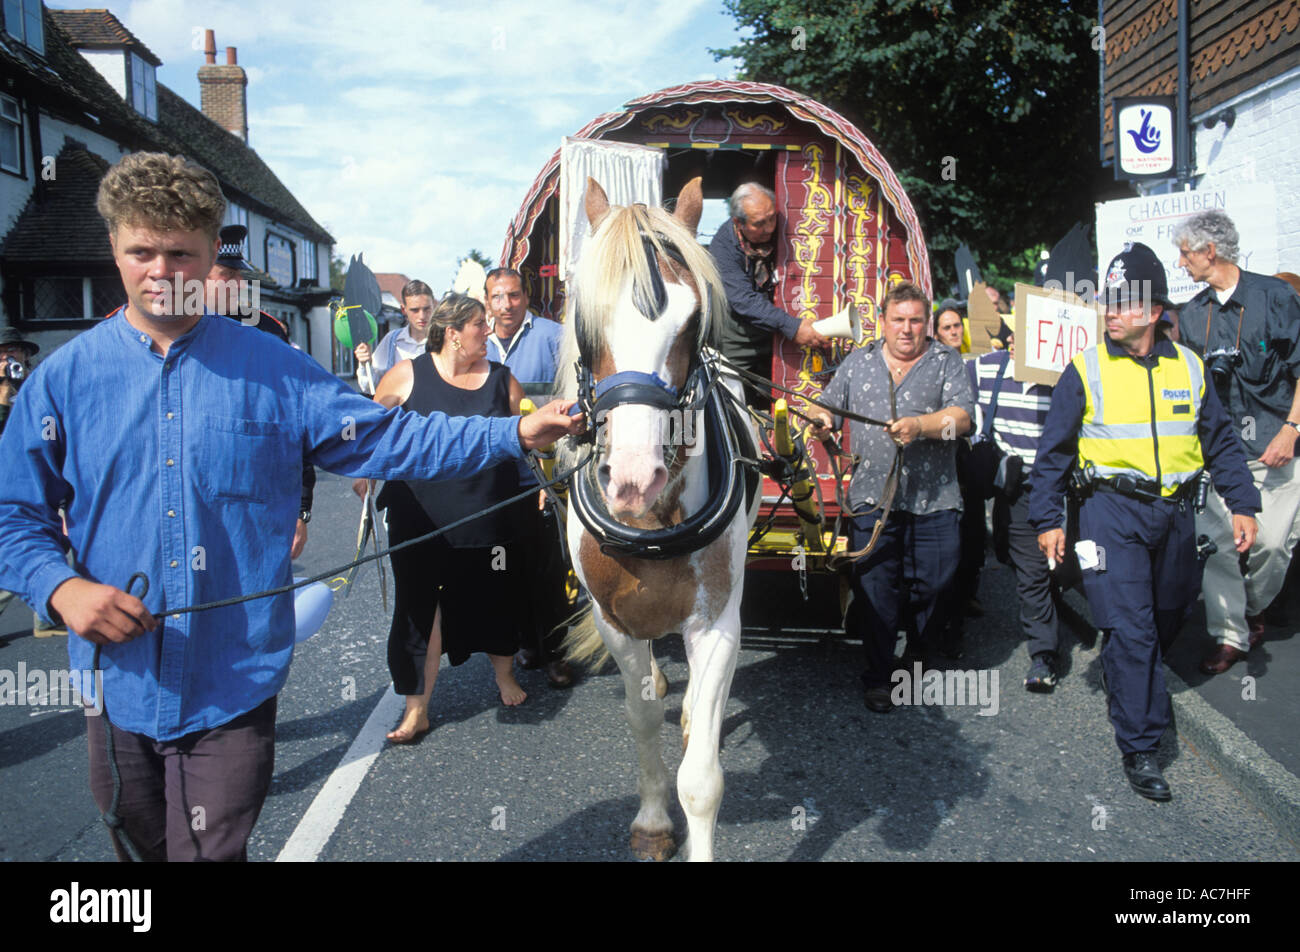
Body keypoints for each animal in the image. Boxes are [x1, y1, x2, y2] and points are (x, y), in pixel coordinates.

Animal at [553, 172, 759, 863]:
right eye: (586, 322)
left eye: (693, 320)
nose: (636, 480)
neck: (651, 527)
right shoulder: (614, 620)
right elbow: (640, 714)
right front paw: (650, 820)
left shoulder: (717, 619)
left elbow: (702, 779)